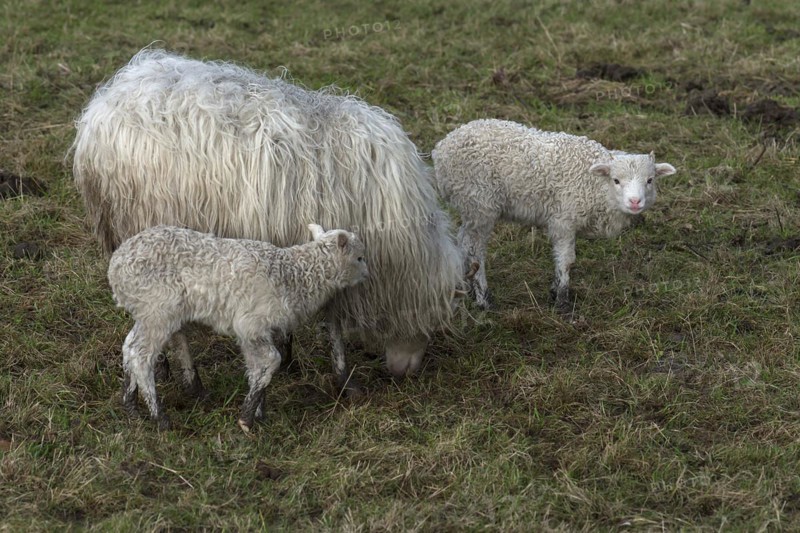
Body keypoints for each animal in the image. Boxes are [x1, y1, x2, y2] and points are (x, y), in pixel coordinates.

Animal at [72, 49, 463, 393]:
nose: (406, 372)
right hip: (153, 229)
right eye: (430, 318)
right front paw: (343, 379)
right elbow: (333, 321)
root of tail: (106, 103)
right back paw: (192, 383)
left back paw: (165, 367)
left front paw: (289, 355)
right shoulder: (337, 252)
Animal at [108, 224, 369, 431]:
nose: (367, 275)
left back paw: (131, 407)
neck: (293, 276)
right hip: (159, 308)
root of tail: (115, 267)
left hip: (146, 311)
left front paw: (258, 412)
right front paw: (246, 418)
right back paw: (159, 418)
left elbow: (257, 368)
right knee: (141, 355)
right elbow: (271, 361)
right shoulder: (251, 323)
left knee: (129, 347)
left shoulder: (256, 332)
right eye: (359, 258)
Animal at [432, 119, 676, 314]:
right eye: (616, 180)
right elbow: (566, 261)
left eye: (650, 180)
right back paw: (484, 299)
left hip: (471, 208)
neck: (595, 185)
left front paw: (555, 291)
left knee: (464, 241)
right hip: (479, 203)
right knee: (475, 250)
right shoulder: (563, 220)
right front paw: (562, 301)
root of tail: (441, 149)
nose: (635, 202)